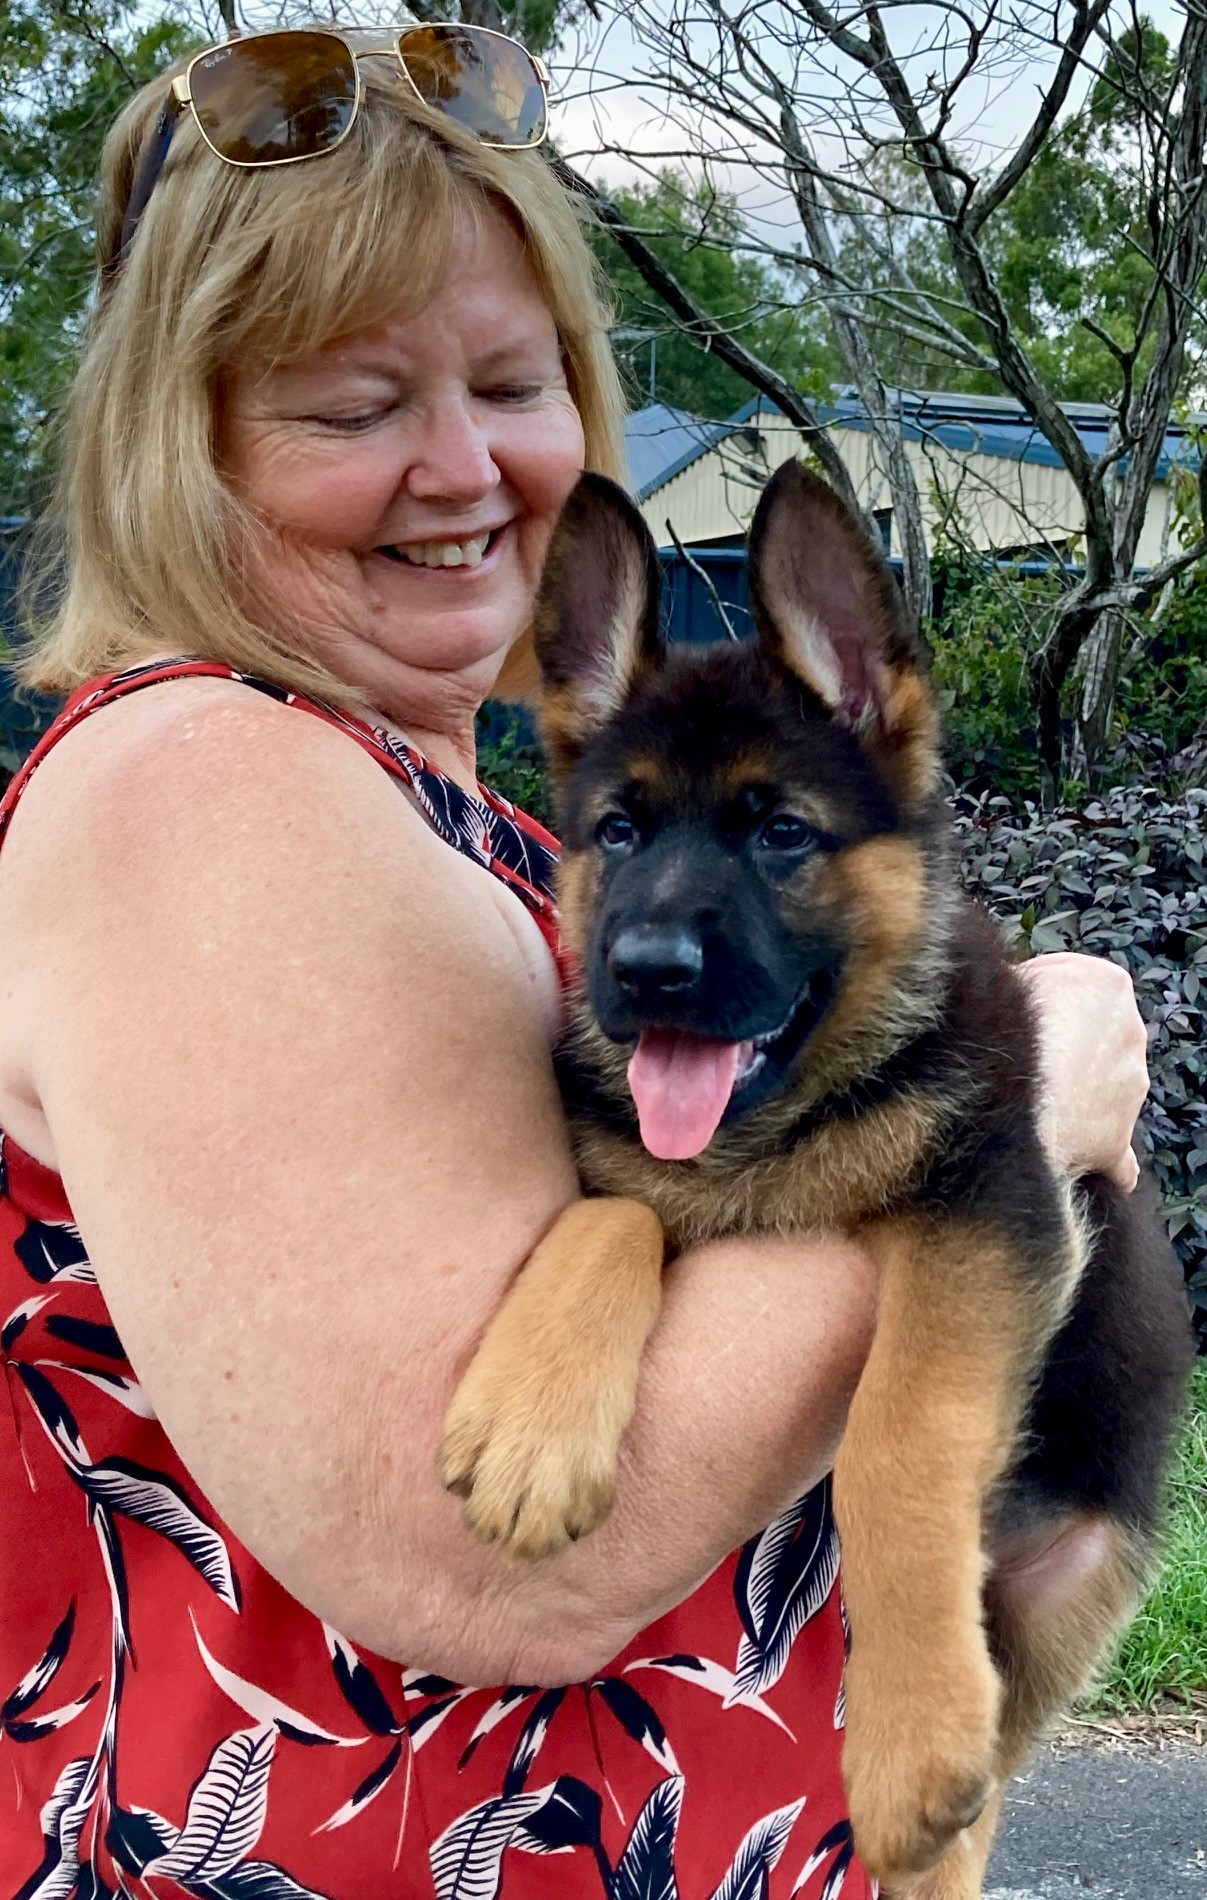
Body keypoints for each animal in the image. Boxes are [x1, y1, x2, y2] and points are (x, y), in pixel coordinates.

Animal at [439, 463, 1193, 1900]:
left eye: (780, 832)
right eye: (618, 830)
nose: (649, 973)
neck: (779, 1123)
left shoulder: (988, 1206)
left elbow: (898, 1436)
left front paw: (905, 1741)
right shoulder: (639, 1169)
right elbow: (612, 1210)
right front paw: (532, 1422)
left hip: (1052, 1607)